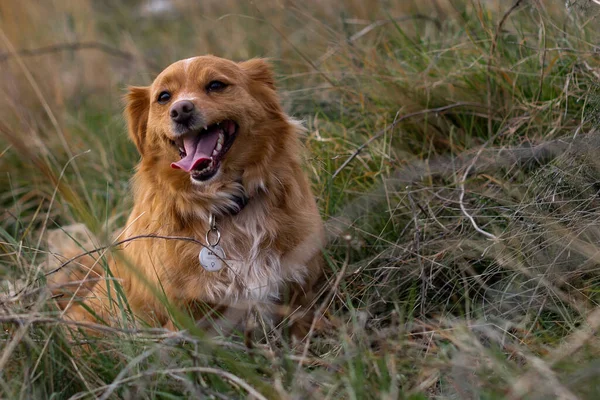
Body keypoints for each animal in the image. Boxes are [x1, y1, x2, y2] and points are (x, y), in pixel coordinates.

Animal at [55, 55, 328, 338]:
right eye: (164, 97)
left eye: (216, 85)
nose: (181, 110)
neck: (220, 205)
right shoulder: (184, 319)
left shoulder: (301, 295)